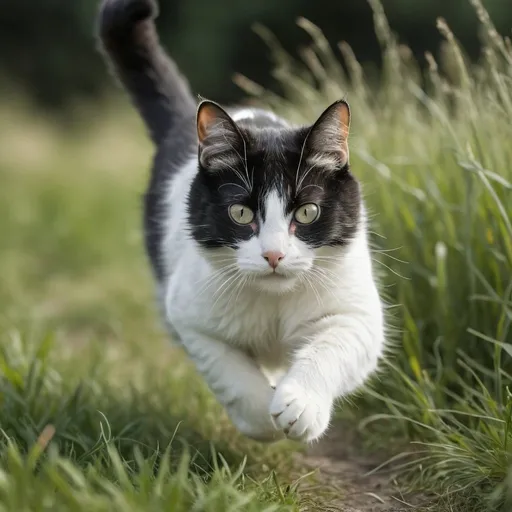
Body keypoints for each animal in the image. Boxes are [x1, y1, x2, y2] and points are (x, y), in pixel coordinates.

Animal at [97, 0, 384, 442]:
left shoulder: (358, 314)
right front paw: (262, 416)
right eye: (241, 212)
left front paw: (300, 405)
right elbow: (229, 371)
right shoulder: (189, 316)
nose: (273, 255)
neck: (274, 303)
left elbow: (332, 347)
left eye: (307, 212)